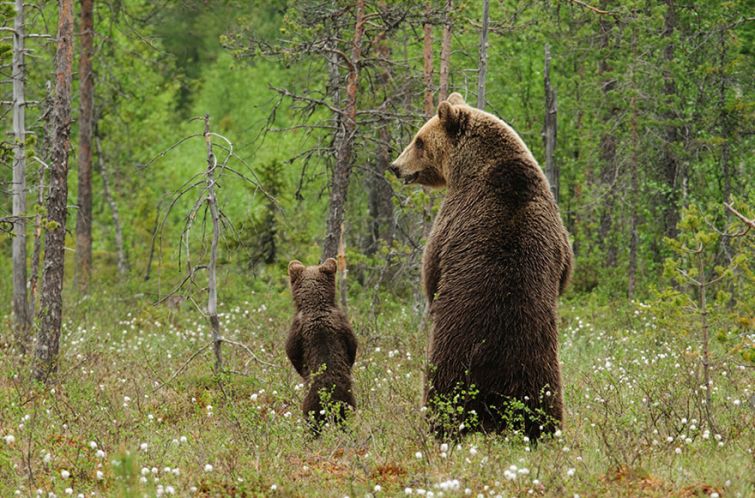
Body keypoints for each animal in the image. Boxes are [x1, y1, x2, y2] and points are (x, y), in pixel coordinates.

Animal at [284, 258, 358, 434]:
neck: (315, 305)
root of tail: (330, 402)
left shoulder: (297, 330)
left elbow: (292, 352)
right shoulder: (343, 324)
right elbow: (353, 345)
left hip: (311, 406)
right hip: (348, 404)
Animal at [392, 93, 568, 440]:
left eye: (418, 140)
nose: (395, 166)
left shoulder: (453, 216)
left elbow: (431, 267)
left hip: (452, 354)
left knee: (442, 391)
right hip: (540, 363)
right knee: (544, 399)